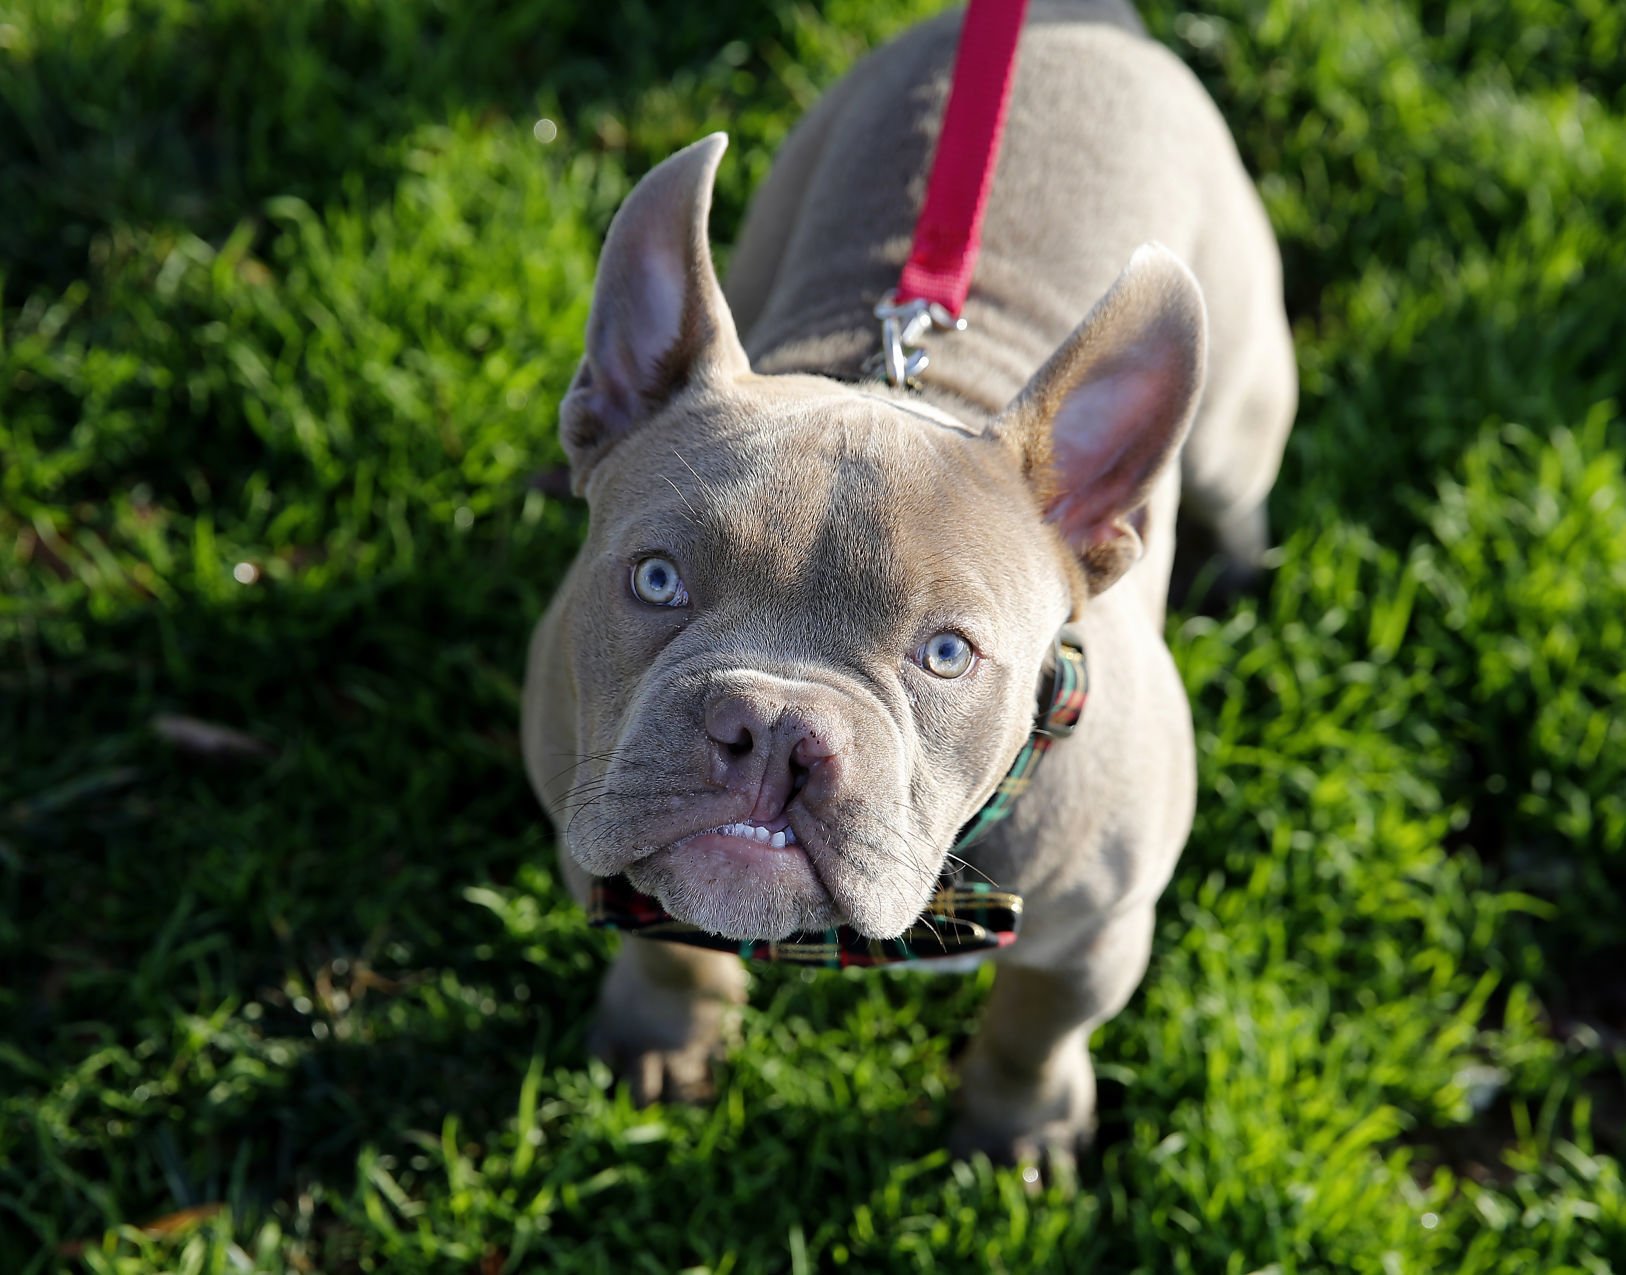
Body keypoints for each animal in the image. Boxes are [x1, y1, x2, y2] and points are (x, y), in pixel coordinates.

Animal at [520, 0, 1294, 1164]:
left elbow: (1035, 1030)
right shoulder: (596, 832)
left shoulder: (1095, 934)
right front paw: (663, 1038)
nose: (772, 728)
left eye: (946, 655)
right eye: (655, 580)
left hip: (1238, 417)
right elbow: (663, 941)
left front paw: (1017, 1132)